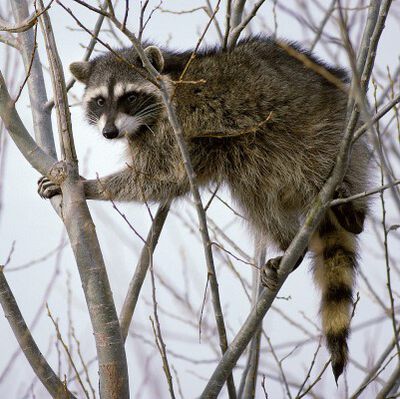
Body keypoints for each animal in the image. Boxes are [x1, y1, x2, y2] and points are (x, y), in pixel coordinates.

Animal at [38, 36, 368, 380]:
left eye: (129, 96)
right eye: (100, 101)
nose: (110, 133)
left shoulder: (176, 126)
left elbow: (161, 176)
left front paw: (89, 186)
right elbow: (167, 181)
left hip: (321, 130)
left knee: (311, 161)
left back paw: (352, 211)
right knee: (255, 194)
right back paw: (290, 243)